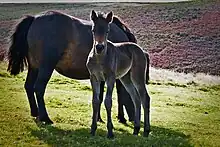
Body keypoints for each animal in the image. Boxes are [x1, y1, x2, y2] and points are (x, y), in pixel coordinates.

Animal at [7, 10, 148, 124]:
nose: (134, 119)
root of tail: (34, 18)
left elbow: (100, 96)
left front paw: (98, 118)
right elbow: (118, 93)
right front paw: (120, 117)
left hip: (34, 67)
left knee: (29, 86)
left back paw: (35, 113)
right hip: (46, 67)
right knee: (39, 88)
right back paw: (45, 118)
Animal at [87, 10, 150, 138]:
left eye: (107, 31)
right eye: (93, 30)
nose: (99, 47)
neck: (99, 59)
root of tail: (141, 50)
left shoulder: (110, 78)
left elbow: (108, 101)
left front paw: (110, 132)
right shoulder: (94, 77)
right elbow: (95, 101)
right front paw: (93, 129)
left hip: (137, 76)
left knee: (145, 98)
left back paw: (146, 130)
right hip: (126, 78)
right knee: (136, 99)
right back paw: (136, 129)